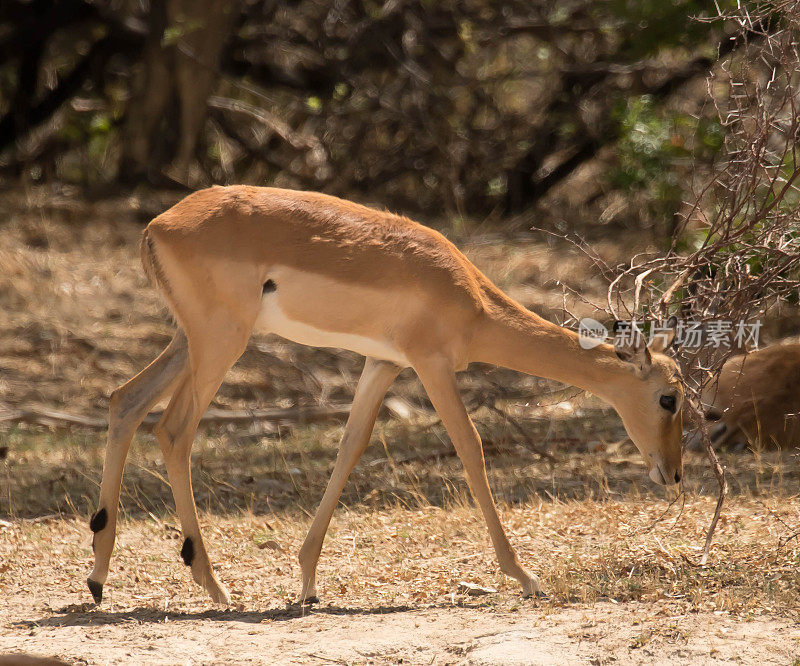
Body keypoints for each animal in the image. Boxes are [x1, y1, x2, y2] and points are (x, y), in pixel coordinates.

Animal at [89, 185, 688, 600]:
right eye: (670, 398)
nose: (674, 474)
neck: (470, 297)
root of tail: (159, 225)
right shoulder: (432, 364)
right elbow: (471, 448)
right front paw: (526, 577)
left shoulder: (382, 364)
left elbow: (351, 446)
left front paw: (308, 582)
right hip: (220, 343)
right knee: (173, 430)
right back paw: (215, 587)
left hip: (189, 342)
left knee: (125, 401)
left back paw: (98, 578)